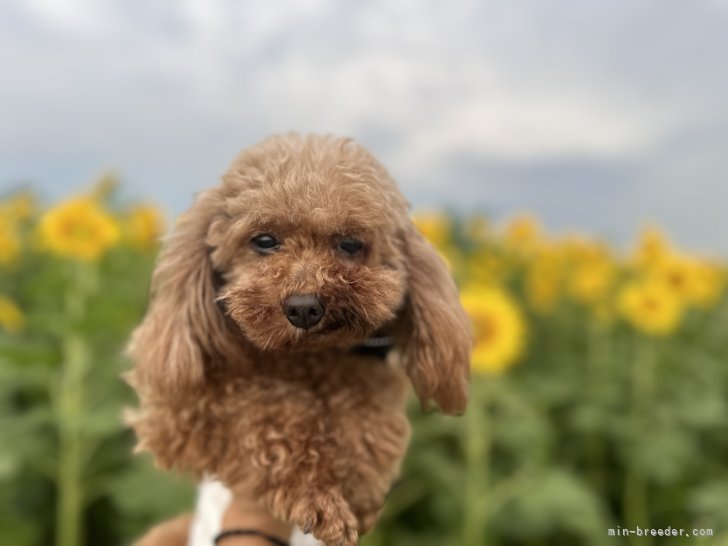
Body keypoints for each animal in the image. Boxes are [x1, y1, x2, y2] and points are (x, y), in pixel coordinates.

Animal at [126, 133, 472, 544]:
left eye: (350, 244)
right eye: (263, 240)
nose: (304, 307)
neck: (308, 358)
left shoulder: (366, 375)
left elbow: (367, 420)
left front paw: (359, 486)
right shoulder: (181, 416)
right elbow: (268, 413)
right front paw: (318, 497)